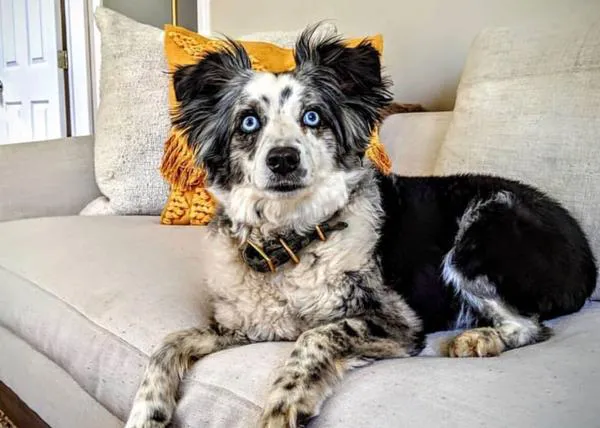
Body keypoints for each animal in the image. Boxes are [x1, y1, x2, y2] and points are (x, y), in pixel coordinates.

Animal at [123, 25, 596, 428]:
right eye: (249, 122)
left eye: (313, 117)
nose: (283, 159)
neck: (290, 241)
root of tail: (587, 254)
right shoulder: (246, 326)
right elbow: (168, 343)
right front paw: (147, 412)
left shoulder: (397, 323)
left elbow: (316, 335)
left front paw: (285, 402)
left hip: (481, 231)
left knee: (531, 325)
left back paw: (478, 338)